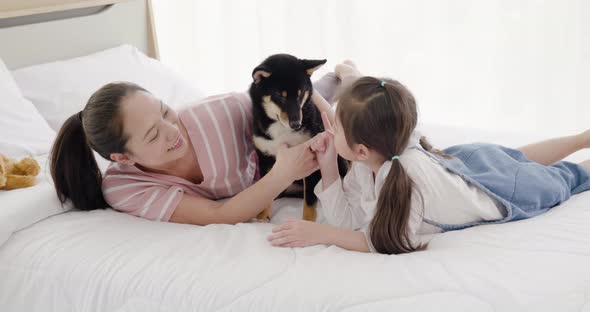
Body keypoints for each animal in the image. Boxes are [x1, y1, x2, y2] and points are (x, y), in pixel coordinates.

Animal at [249, 53, 346, 222]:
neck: (281, 130)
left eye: (301, 94)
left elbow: (310, 200)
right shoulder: (264, 158)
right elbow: (267, 190)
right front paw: (263, 214)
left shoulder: (311, 156)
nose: (296, 124)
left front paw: (307, 222)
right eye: (279, 96)